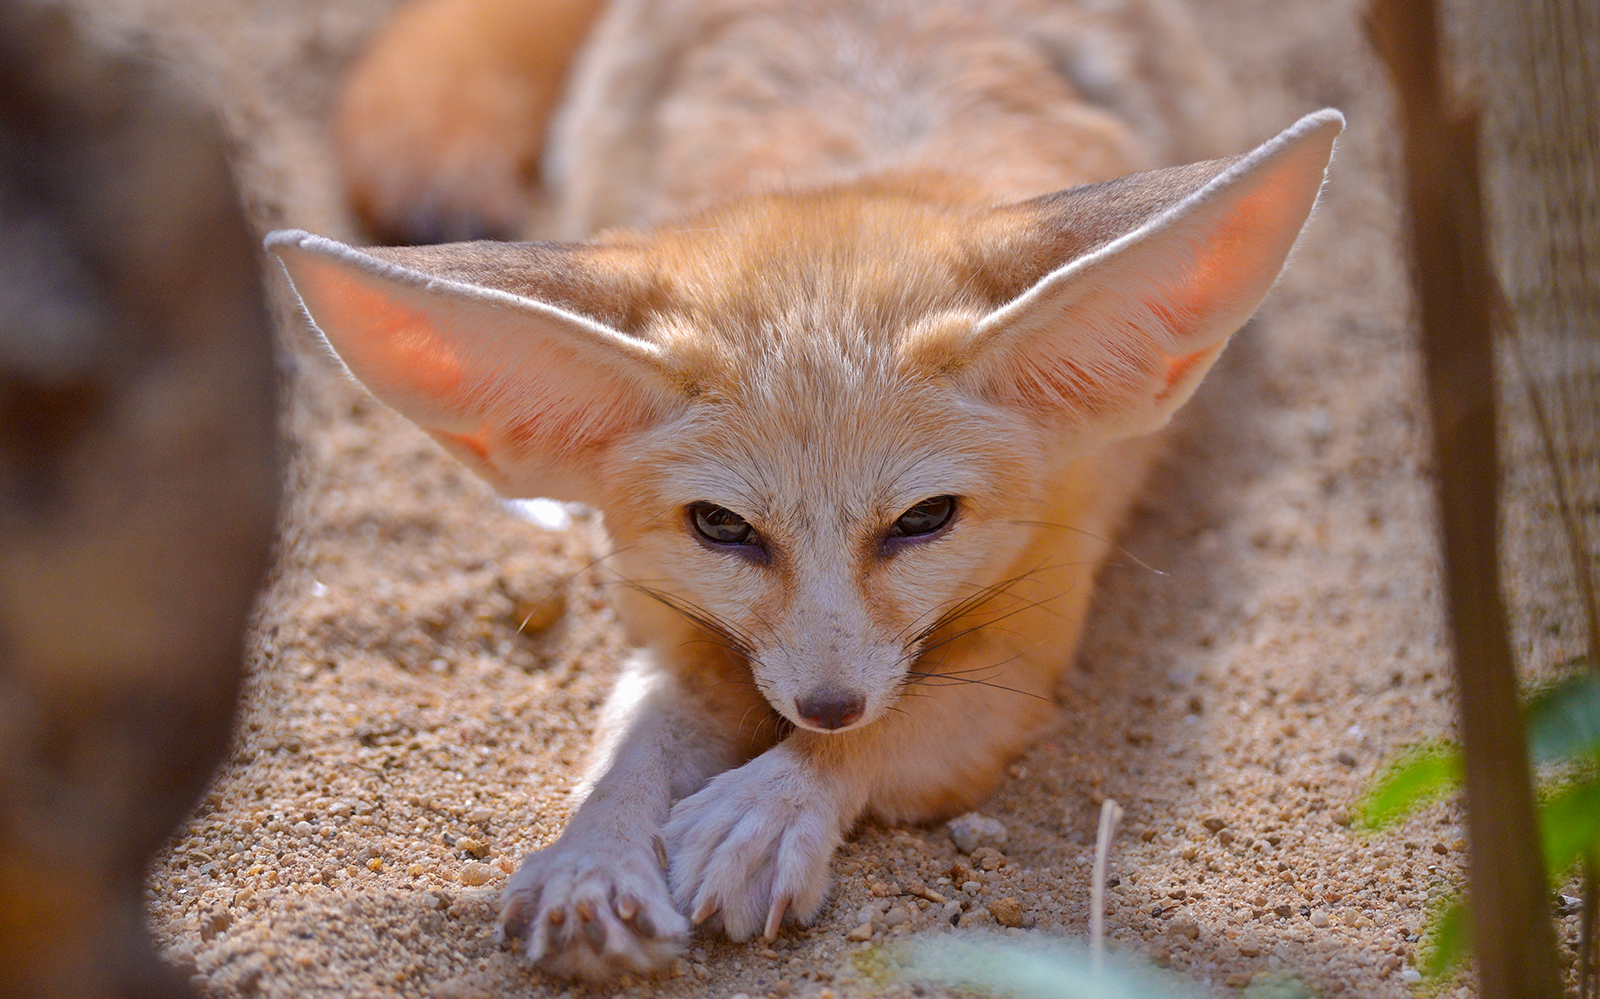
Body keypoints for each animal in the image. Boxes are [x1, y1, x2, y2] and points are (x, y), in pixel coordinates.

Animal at [267, 0, 1342, 982]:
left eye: (924, 519)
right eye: (720, 526)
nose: (825, 706)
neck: (857, 165)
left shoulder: (1021, 658)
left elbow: (896, 724)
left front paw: (771, 805)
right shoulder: (689, 630)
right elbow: (630, 741)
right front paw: (593, 858)